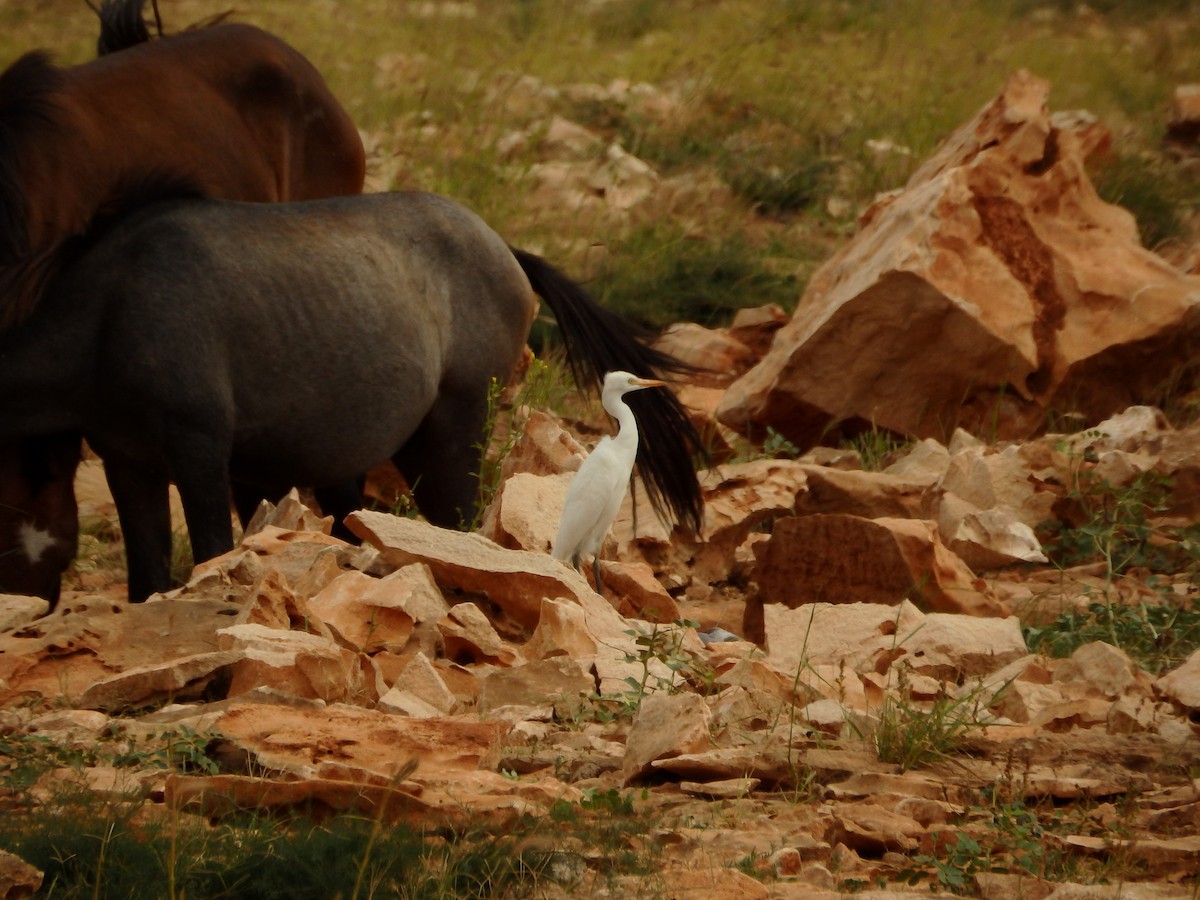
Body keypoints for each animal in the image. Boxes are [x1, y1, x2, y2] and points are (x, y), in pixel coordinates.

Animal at [2, 190, 700, 602]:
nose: (28, 602)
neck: (111, 313)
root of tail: (506, 251)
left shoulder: (198, 455)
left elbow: (207, 549)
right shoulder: (129, 463)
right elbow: (147, 578)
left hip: (454, 430)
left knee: (463, 523)